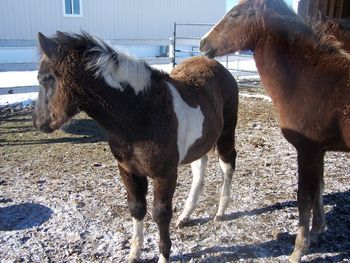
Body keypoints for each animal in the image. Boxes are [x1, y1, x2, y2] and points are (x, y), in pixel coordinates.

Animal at [33, 32, 238, 262]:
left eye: (44, 79)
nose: (37, 122)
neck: (140, 113)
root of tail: (218, 66)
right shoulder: (128, 170)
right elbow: (137, 208)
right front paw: (134, 253)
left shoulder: (165, 174)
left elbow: (161, 214)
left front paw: (163, 256)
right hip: (199, 142)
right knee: (199, 170)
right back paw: (185, 216)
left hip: (226, 133)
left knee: (228, 165)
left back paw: (220, 212)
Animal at [200, 0, 350, 262]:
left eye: (235, 13)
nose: (202, 43)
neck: (309, 79)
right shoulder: (319, 151)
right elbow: (319, 189)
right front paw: (317, 233)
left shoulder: (307, 150)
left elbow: (305, 197)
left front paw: (298, 250)